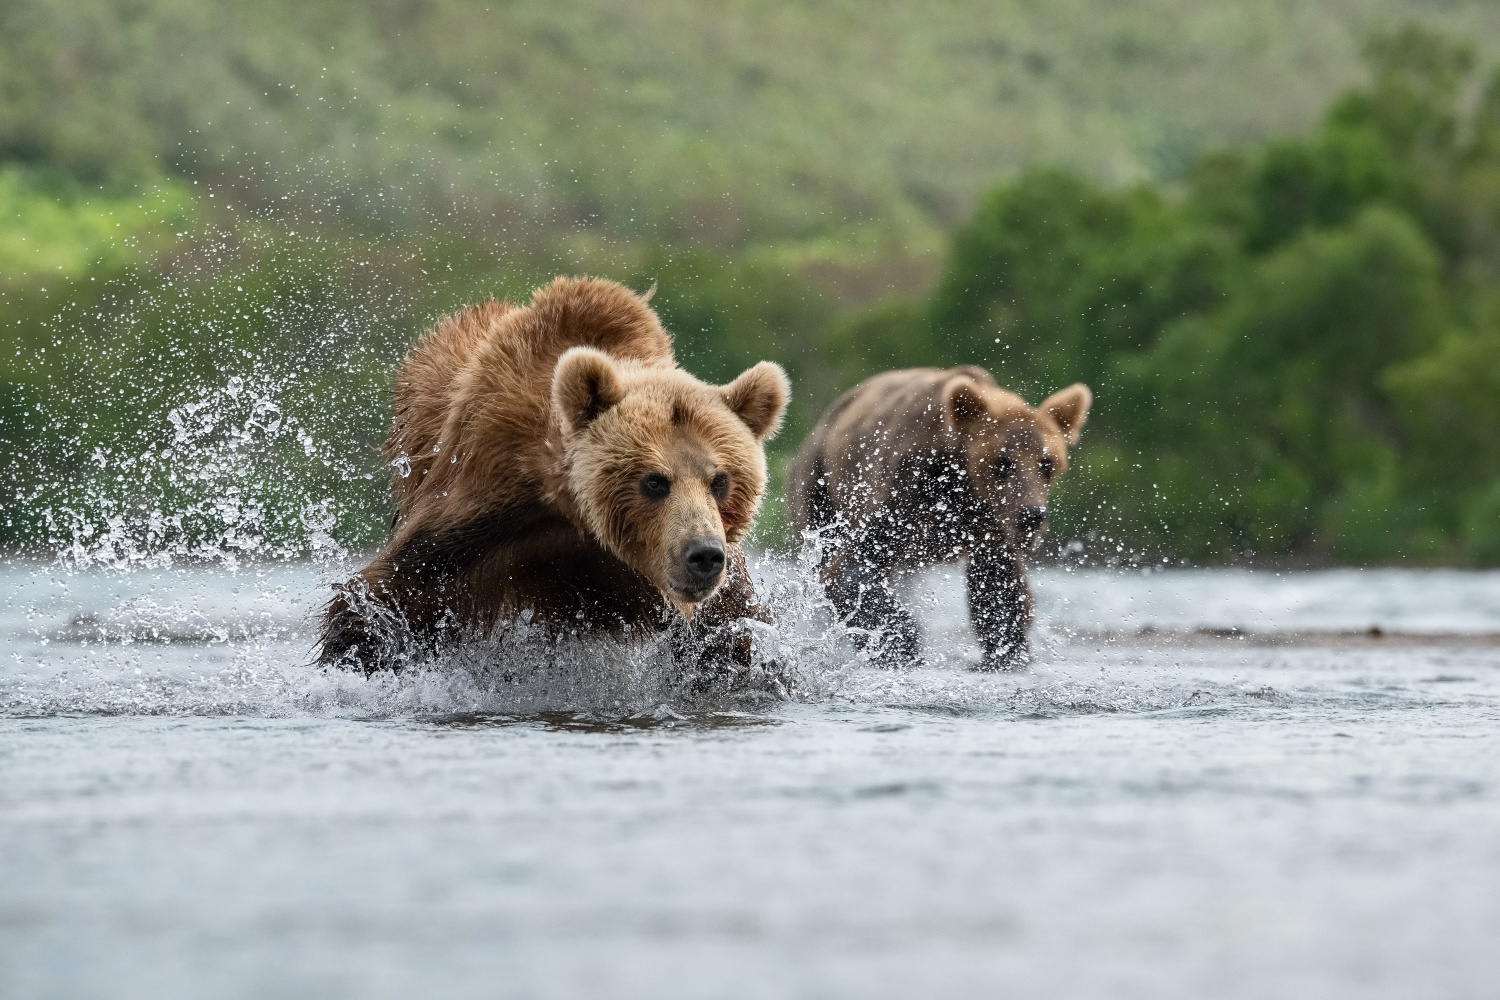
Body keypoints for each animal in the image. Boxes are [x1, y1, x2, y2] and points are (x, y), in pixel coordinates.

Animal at [786, 367, 1092, 671]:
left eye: (1047, 464)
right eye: (1002, 463)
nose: (1031, 516)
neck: (960, 485)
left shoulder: (989, 527)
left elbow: (998, 588)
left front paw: (1007, 652)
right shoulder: (905, 492)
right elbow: (850, 569)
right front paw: (903, 644)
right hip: (819, 484)